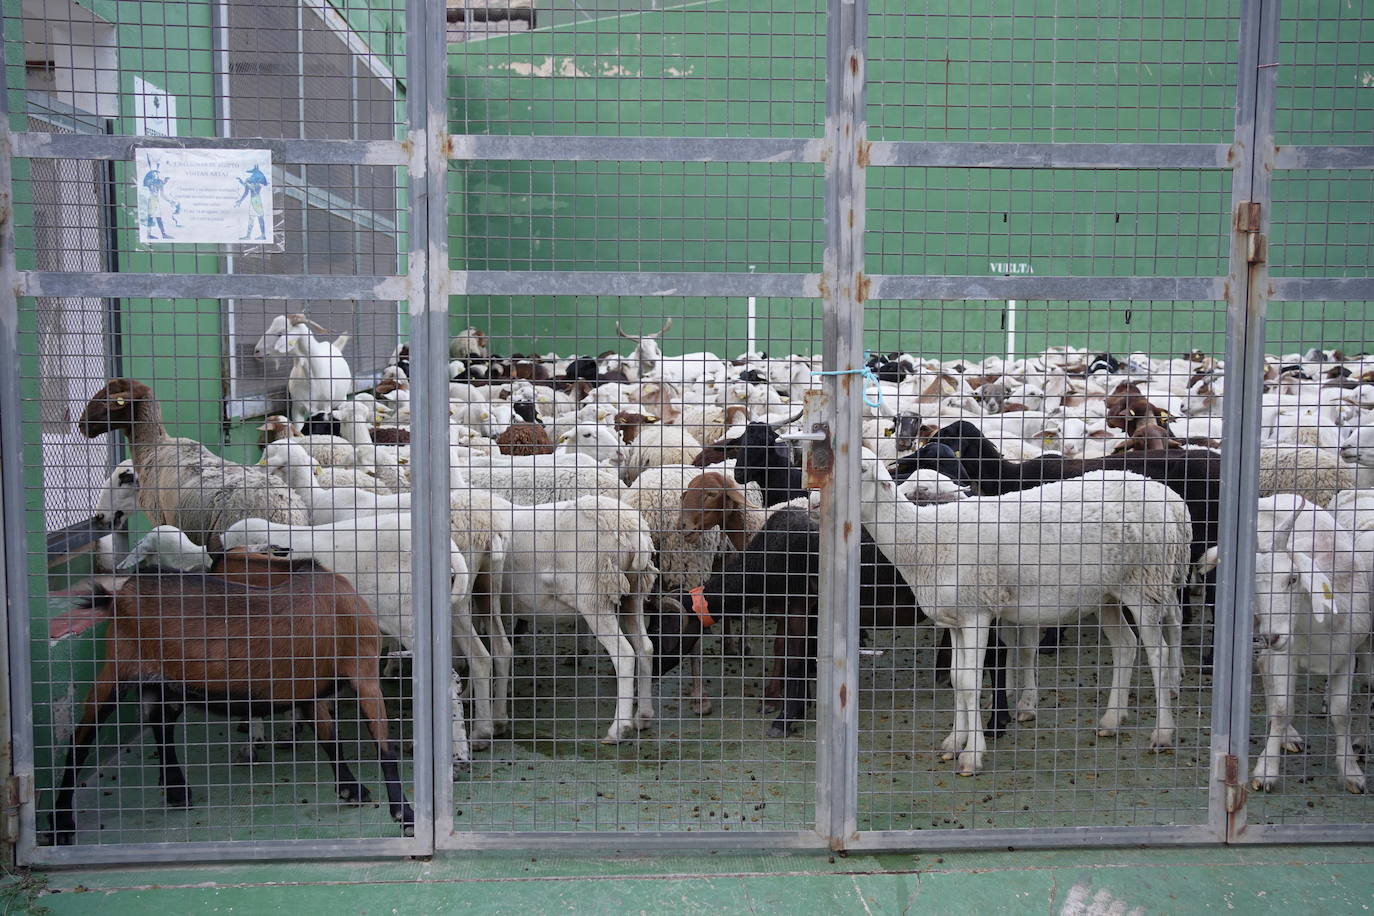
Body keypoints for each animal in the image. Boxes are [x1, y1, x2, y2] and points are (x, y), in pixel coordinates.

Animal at [857, 466, 1192, 774]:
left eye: (861, 469)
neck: (925, 537)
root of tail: (1170, 497)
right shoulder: (954, 619)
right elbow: (956, 678)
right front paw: (954, 741)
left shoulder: (978, 612)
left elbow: (970, 682)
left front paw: (972, 754)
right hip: (1107, 593)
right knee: (1125, 645)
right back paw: (1112, 720)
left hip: (1147, 582)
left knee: (1159, 653)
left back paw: (1163, 732)